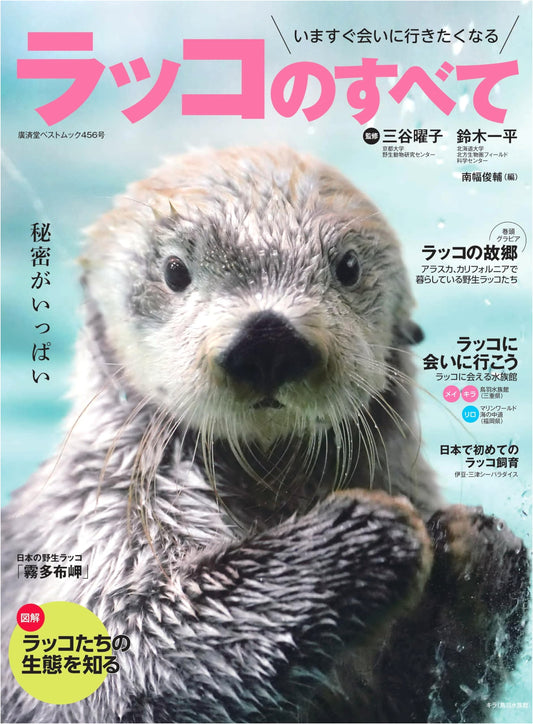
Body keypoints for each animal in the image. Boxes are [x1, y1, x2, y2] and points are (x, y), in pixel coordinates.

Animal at [1, 146, 529, 723]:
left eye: (348, 267)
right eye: (175, 271)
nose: (268, 340)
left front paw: (482, 550)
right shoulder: (102, 521)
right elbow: (132, 662)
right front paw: (369, 530)